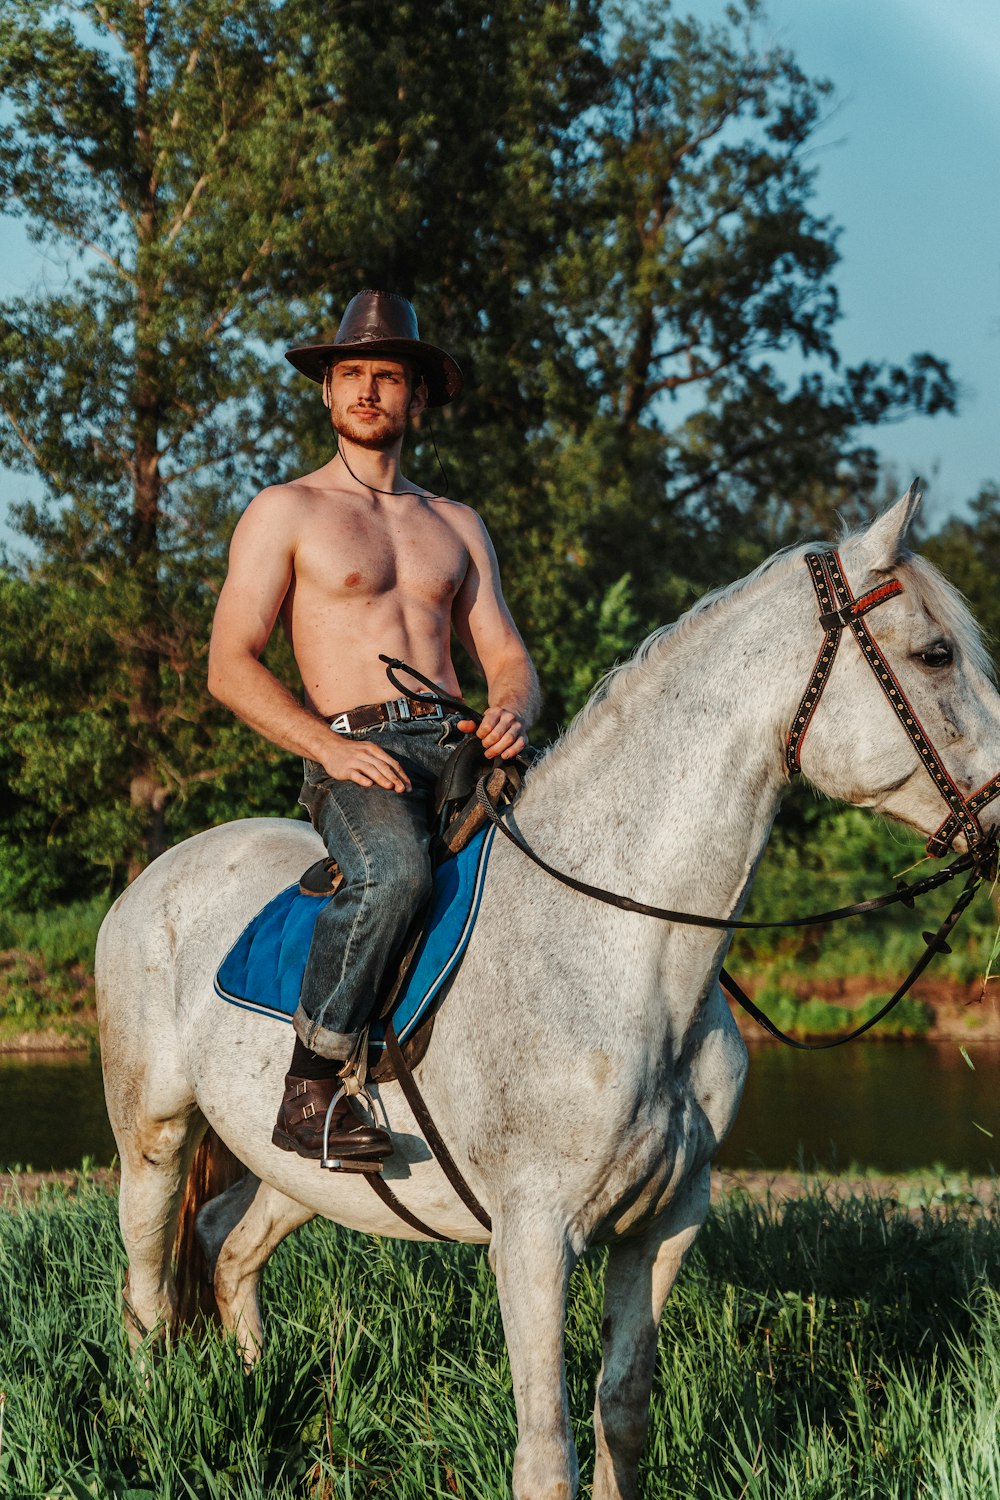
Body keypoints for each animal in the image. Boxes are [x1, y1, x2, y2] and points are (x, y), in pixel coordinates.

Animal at [93, 492, 1000, 1500]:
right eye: (936, 654)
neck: (621, 951)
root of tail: (155, 877)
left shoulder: (665, 1224)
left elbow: (623, 1410)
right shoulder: (532, 1240)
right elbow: (545, 1452)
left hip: (306, 1171)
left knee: (228, 1244)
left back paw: (255, 1390)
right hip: (154, 1133)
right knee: (145, 1288)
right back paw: (150, 1420)